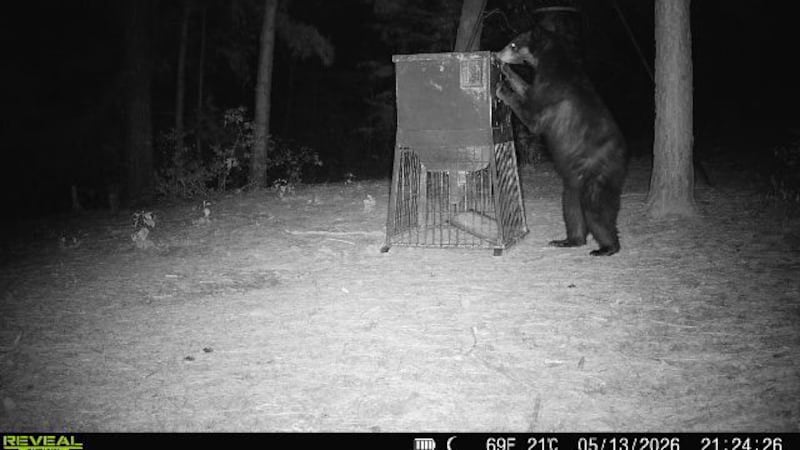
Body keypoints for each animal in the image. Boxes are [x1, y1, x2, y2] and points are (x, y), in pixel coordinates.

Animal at [495, 27, 629, 256]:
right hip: (573, 182)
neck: (550, 61)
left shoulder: (552, 93)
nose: (497, 54)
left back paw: (606, 247)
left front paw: (503, 88)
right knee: (571, 208)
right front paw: (508, 72)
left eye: (513, 44)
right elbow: (527, 88)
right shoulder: (540, 84)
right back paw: (568, 240)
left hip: (598, 175)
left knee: (596, 211)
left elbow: (532, 115)